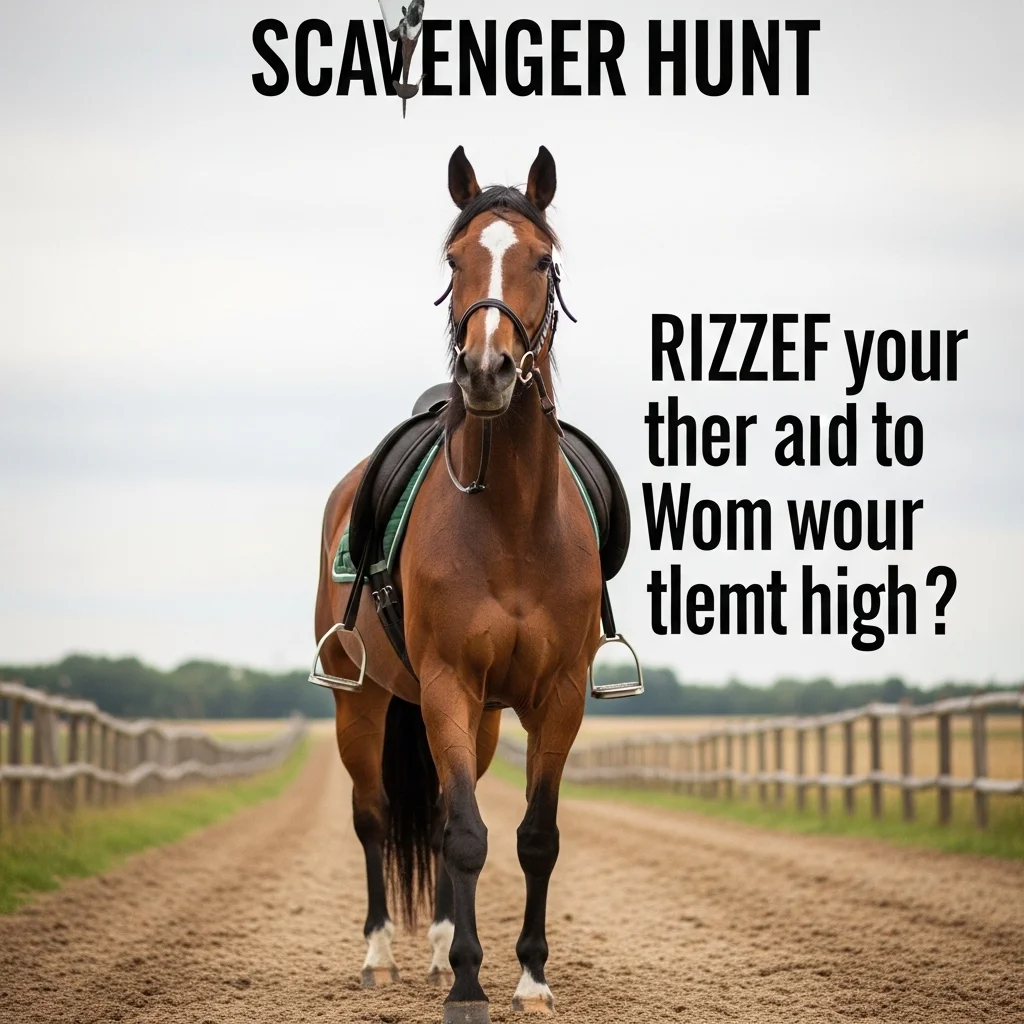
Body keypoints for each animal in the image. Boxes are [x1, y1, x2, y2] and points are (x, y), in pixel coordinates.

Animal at [314, 145, 602, 1024]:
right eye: (454, 260)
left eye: (541, 259)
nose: (485, 370)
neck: (512, 520)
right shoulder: (444, 684)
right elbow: (468, 836)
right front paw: (472, 987)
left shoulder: (557, 695)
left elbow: (531, 837)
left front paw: (530, 980)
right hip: (364, 704)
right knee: (375, 818)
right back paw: (382, 956)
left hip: (479, 717)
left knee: (446, 807)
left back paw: (442, 948)